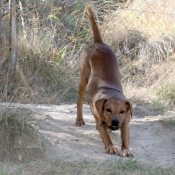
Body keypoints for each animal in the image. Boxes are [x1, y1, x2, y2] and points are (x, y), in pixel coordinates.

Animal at [76, 7, 132, 157]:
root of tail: (98, 42)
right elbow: (105, 136)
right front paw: (111, 147)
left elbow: (125, 137)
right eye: (108, 109)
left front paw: (125, 150)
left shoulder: (125, 123)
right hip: (83, 78)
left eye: (122, 111)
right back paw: (79, 119)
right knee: (79, 102)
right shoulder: (101, 121)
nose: (115, 121)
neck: (111, 93)